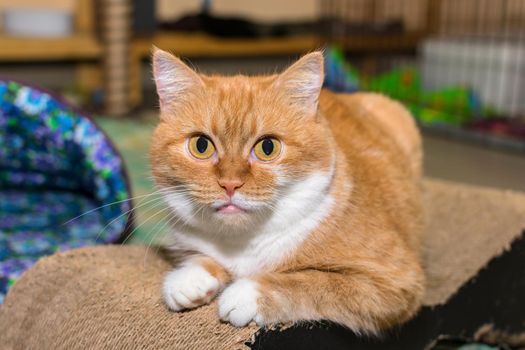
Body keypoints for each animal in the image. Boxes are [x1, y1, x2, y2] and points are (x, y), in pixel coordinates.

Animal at [149, 47, 424, 334]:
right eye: (201, 145)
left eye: (267, 147)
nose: (230, 184)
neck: (244, 242)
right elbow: (201, 257)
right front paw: (190, 278)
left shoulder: (393, 282)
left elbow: (309, 282)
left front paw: (246, 294)